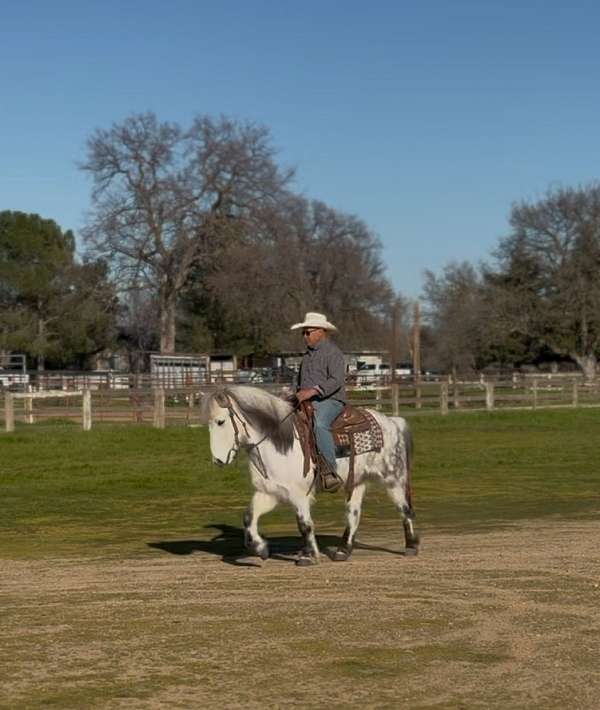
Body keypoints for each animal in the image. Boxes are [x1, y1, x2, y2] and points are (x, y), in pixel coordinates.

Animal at [202, 384, 418, 568]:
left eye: (220, 422)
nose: (218, 460)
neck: (279, 443)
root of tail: (392, 422)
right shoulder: (270, 492)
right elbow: (248, 517)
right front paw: (261, 548)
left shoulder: (300, 495)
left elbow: (304, 525)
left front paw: (308, 555)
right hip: (357, 482)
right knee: (353, 514)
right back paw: (343, 550)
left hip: (394, 478)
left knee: (404, 510)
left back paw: (411, 546)